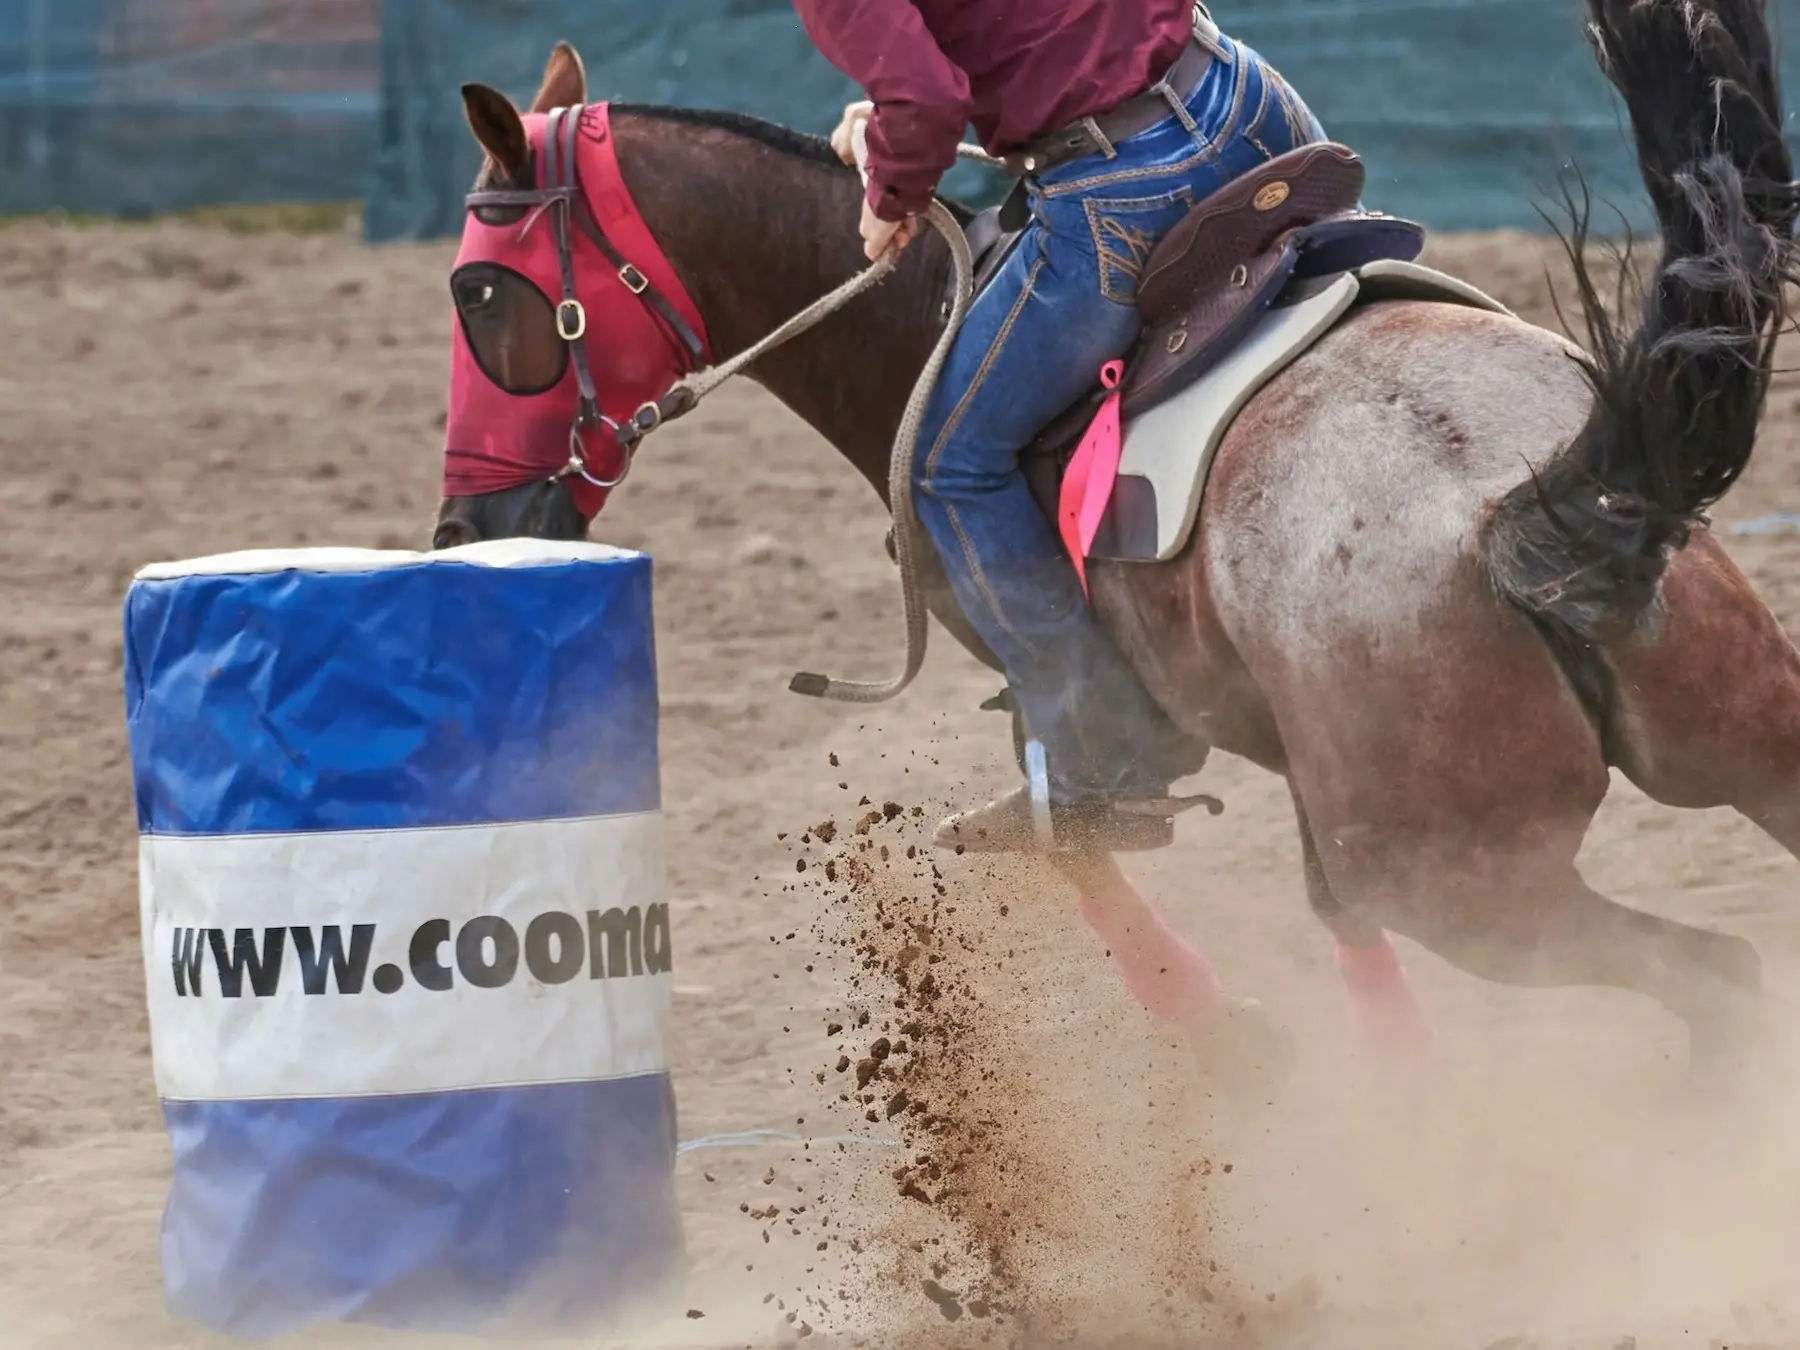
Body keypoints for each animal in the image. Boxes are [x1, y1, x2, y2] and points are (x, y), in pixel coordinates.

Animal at [432, 0, 1800, 1087]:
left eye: (480, 293)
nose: (470, 524)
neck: (922, 315)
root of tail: (1524, 507)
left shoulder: (1070, 703)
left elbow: (1073, 839)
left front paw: (1238, 1038)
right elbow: (1314, 912)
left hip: (1465, 881)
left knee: (1722, 980)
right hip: (1737, 744)